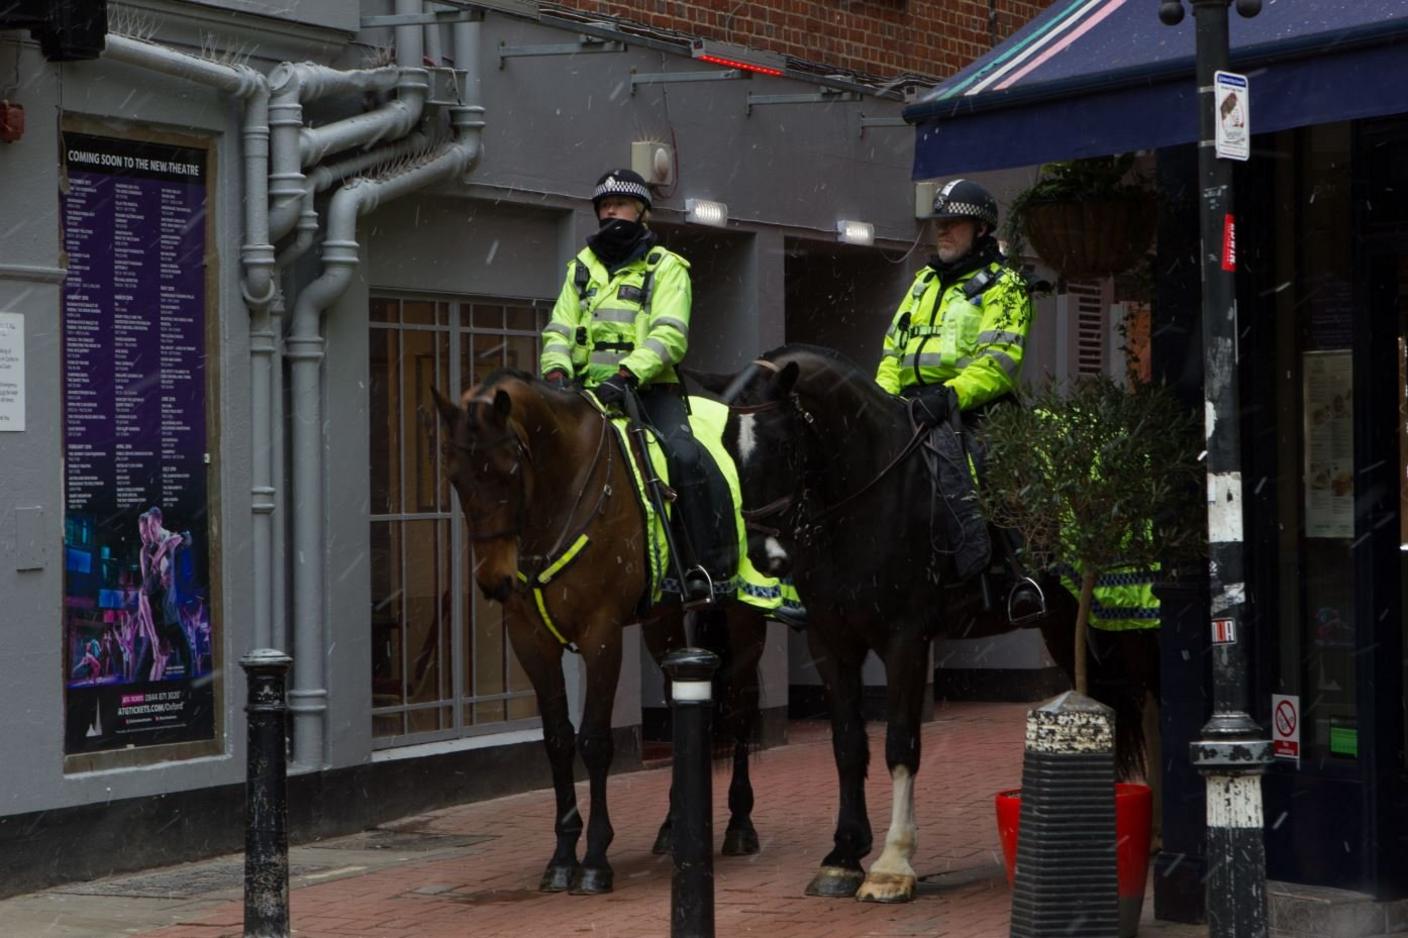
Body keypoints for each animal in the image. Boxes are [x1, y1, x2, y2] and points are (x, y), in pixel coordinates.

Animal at [430, 366, 771, 890]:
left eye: (510, 470)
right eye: (455, 476)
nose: (495, 580)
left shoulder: (602, 634)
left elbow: (594, 740)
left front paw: (593, 859)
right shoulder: (530, 641)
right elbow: (557, 740)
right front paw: (561, 858)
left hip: (744, 616)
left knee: (739, 706)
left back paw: (739, 825)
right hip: (661, 624)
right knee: (680, 710)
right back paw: (674, 827)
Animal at [692, 343, 1154, 901]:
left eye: (784, 443)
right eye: (726, 445)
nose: (765, 555)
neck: (869, 494)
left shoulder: (906, 640)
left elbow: (900, 742)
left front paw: (893, 864)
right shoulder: (831, 641)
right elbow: (847, 745)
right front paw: (843, 855)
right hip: (1066, 624)